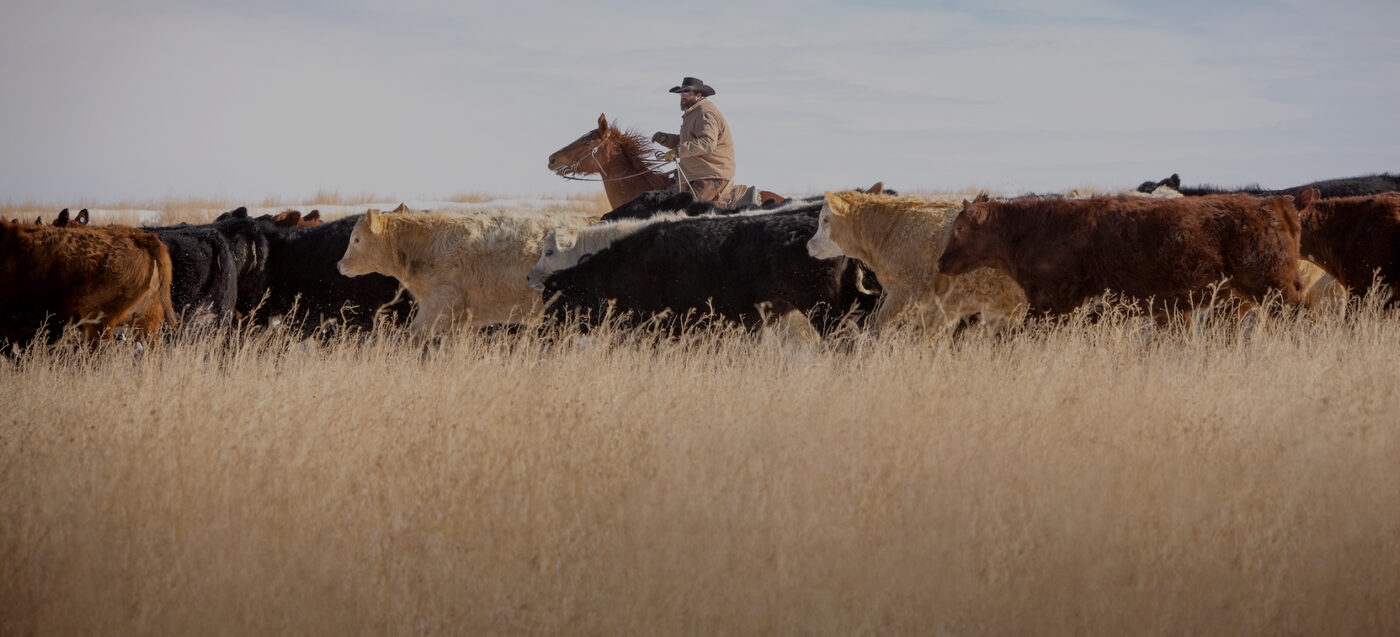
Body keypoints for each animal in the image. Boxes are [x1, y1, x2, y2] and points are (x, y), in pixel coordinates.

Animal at [806, 191, 1026, 333]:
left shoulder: (907, 292)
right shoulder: (940, 307)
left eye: (825, 220)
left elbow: (881, 326)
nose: (808, 245)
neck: (892, 230)